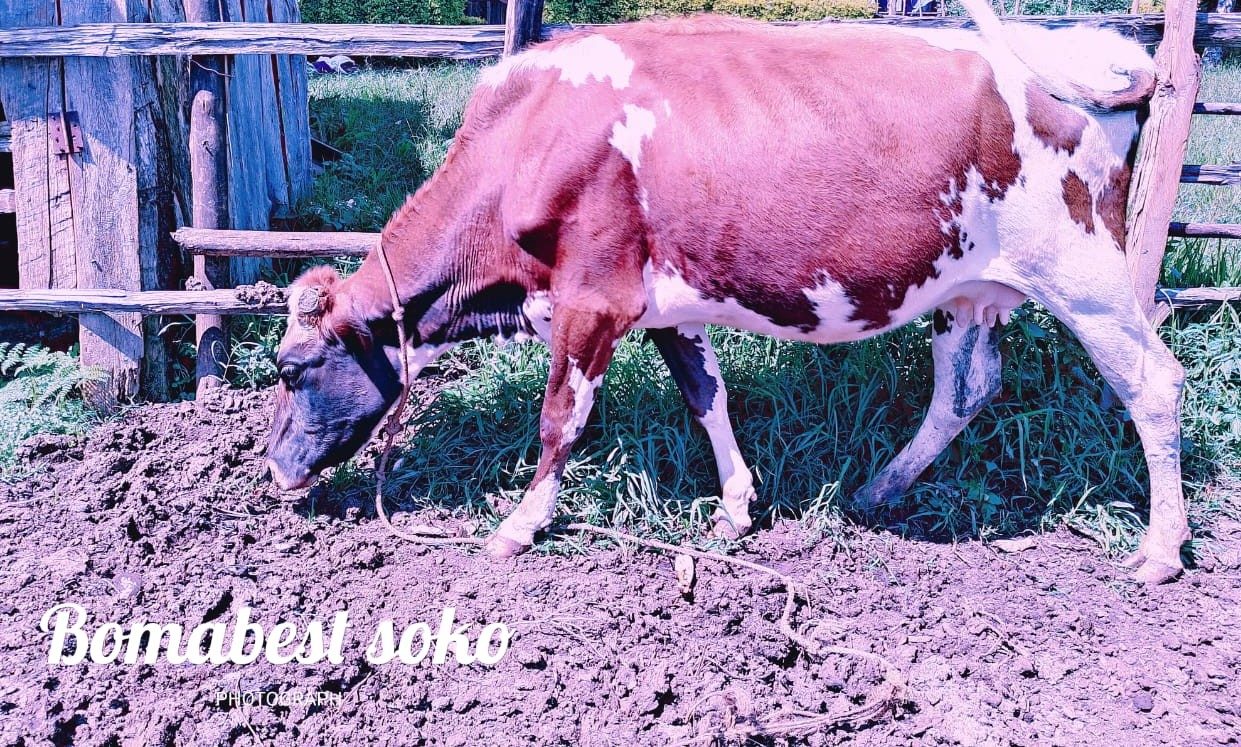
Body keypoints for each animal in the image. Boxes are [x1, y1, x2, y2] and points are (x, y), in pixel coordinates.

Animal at [266, 0, 1190, 584]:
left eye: (291, 369)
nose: (273, 471)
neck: (526, 139)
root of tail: (1091, 51)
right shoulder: (660, 304)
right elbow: (704, 395)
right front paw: (737, 507)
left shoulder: (591, 298)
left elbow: (560, 418)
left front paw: (517, 526)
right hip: (968, 287)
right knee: (964, 390)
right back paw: (878, 490)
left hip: (1086, 276)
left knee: (1153, 383)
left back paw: (1159, 551)